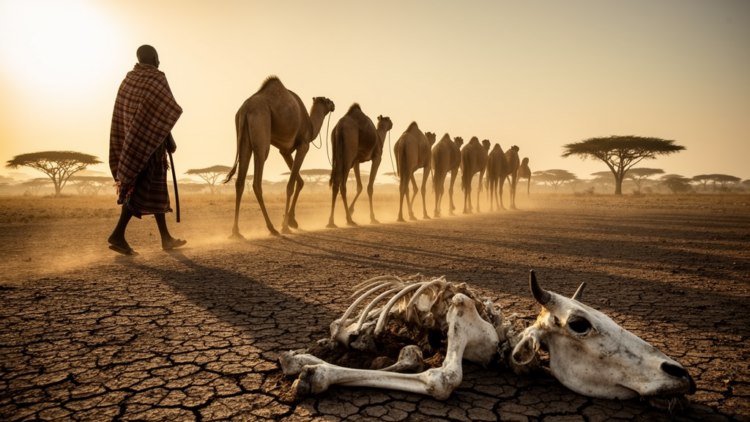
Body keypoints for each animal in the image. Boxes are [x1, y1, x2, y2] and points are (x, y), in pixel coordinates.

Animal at [224, 76, 335, 237]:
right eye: (326, 100)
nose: (333, 104)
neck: (310, 126)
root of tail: (245, 109)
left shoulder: (285, 151)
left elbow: (300, 182)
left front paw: (292, 220)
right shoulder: (303, 146)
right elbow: (290, 185)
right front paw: (285, 225)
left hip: (243, 140)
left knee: (240, 182)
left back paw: (236, 232)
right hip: (261, 130)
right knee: (257, 181)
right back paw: (272, 228)